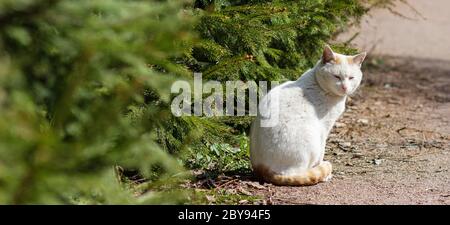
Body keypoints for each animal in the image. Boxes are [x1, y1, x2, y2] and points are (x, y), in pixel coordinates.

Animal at [250, 44, 366, 185]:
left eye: (351, 78)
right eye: (336, 77)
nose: (345, 87)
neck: (318, 85)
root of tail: (263, 170)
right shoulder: (324, 128)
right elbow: (322, 152)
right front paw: (322, 169)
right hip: (310, 138)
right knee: (297, 173)